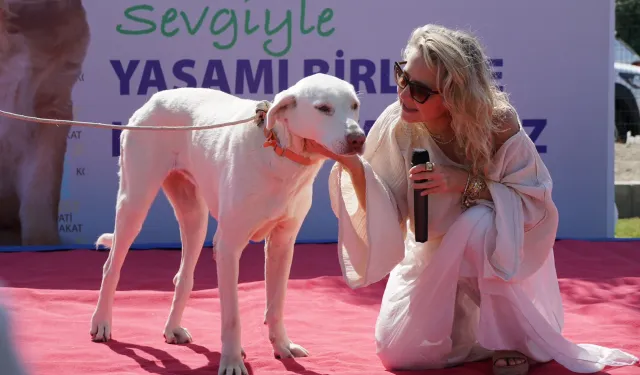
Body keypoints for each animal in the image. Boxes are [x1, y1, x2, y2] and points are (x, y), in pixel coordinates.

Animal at [89, 73, 364, 375]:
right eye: (323, 108)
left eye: (354, 106)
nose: (358, 139)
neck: (279, 151)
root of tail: (156, 98)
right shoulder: (228, 247)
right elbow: (232, 316)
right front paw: (232, 361)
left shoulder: (282, 244)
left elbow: (276, 304)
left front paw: (282, 346)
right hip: (134, 204)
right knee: (111, 267)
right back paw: (101, 322)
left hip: (195, 219)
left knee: (183, 276)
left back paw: (172, 328)